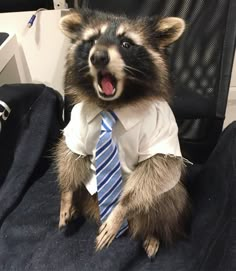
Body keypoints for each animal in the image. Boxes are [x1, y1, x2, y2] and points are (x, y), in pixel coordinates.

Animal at [55, 9, 190, 260]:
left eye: (126, 43)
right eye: (92, 41)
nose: (98, 57)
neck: (114, 105)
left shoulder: (160, 129)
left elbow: (155, 168)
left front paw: (120, 209)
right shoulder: (79, 122)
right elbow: (70, 154)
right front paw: (66, 194)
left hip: (166, 200)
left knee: (167, 197)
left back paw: (153, 233)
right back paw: (76, 204)